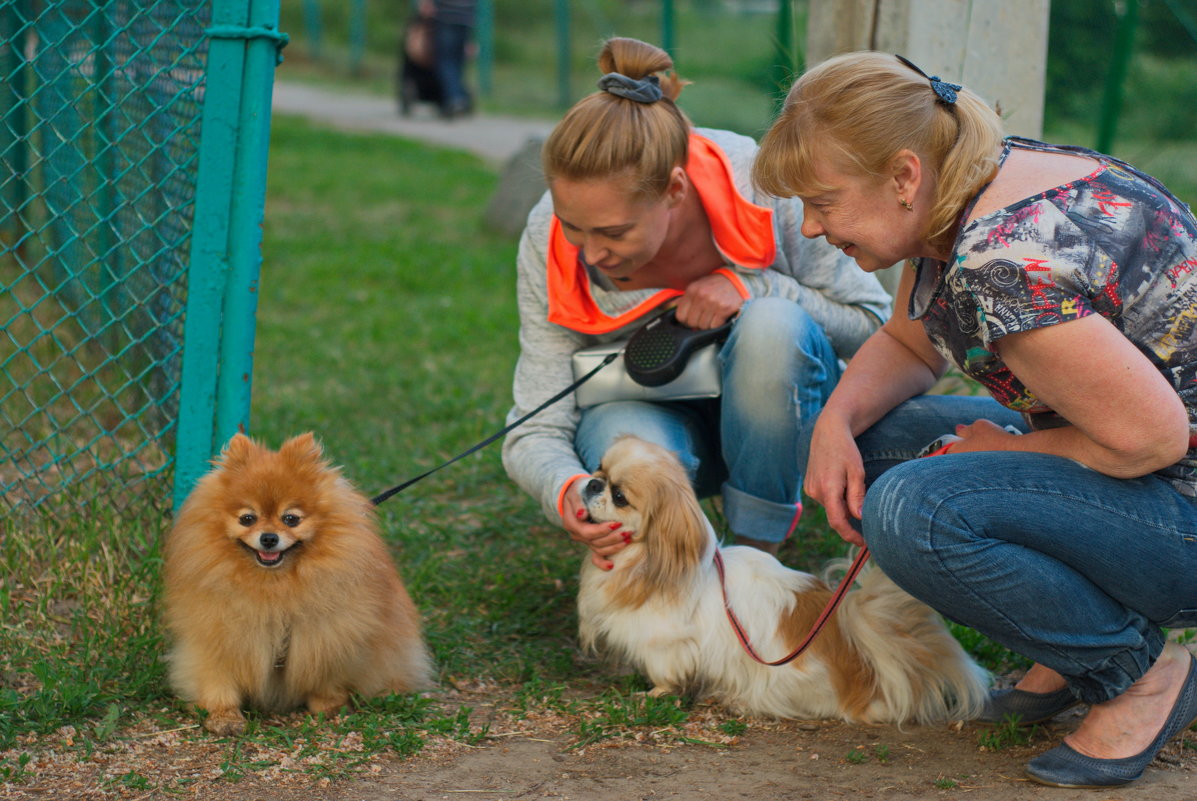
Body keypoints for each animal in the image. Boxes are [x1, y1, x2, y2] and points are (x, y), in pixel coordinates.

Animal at [163, 433, 433, 732]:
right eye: (248, 518)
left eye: (290, 519)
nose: (269, 538)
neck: (276, 584)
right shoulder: (220, 635)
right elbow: (217, 681)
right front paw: (224, 716)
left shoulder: (326, 635)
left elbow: (327, 677)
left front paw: (330, 706)